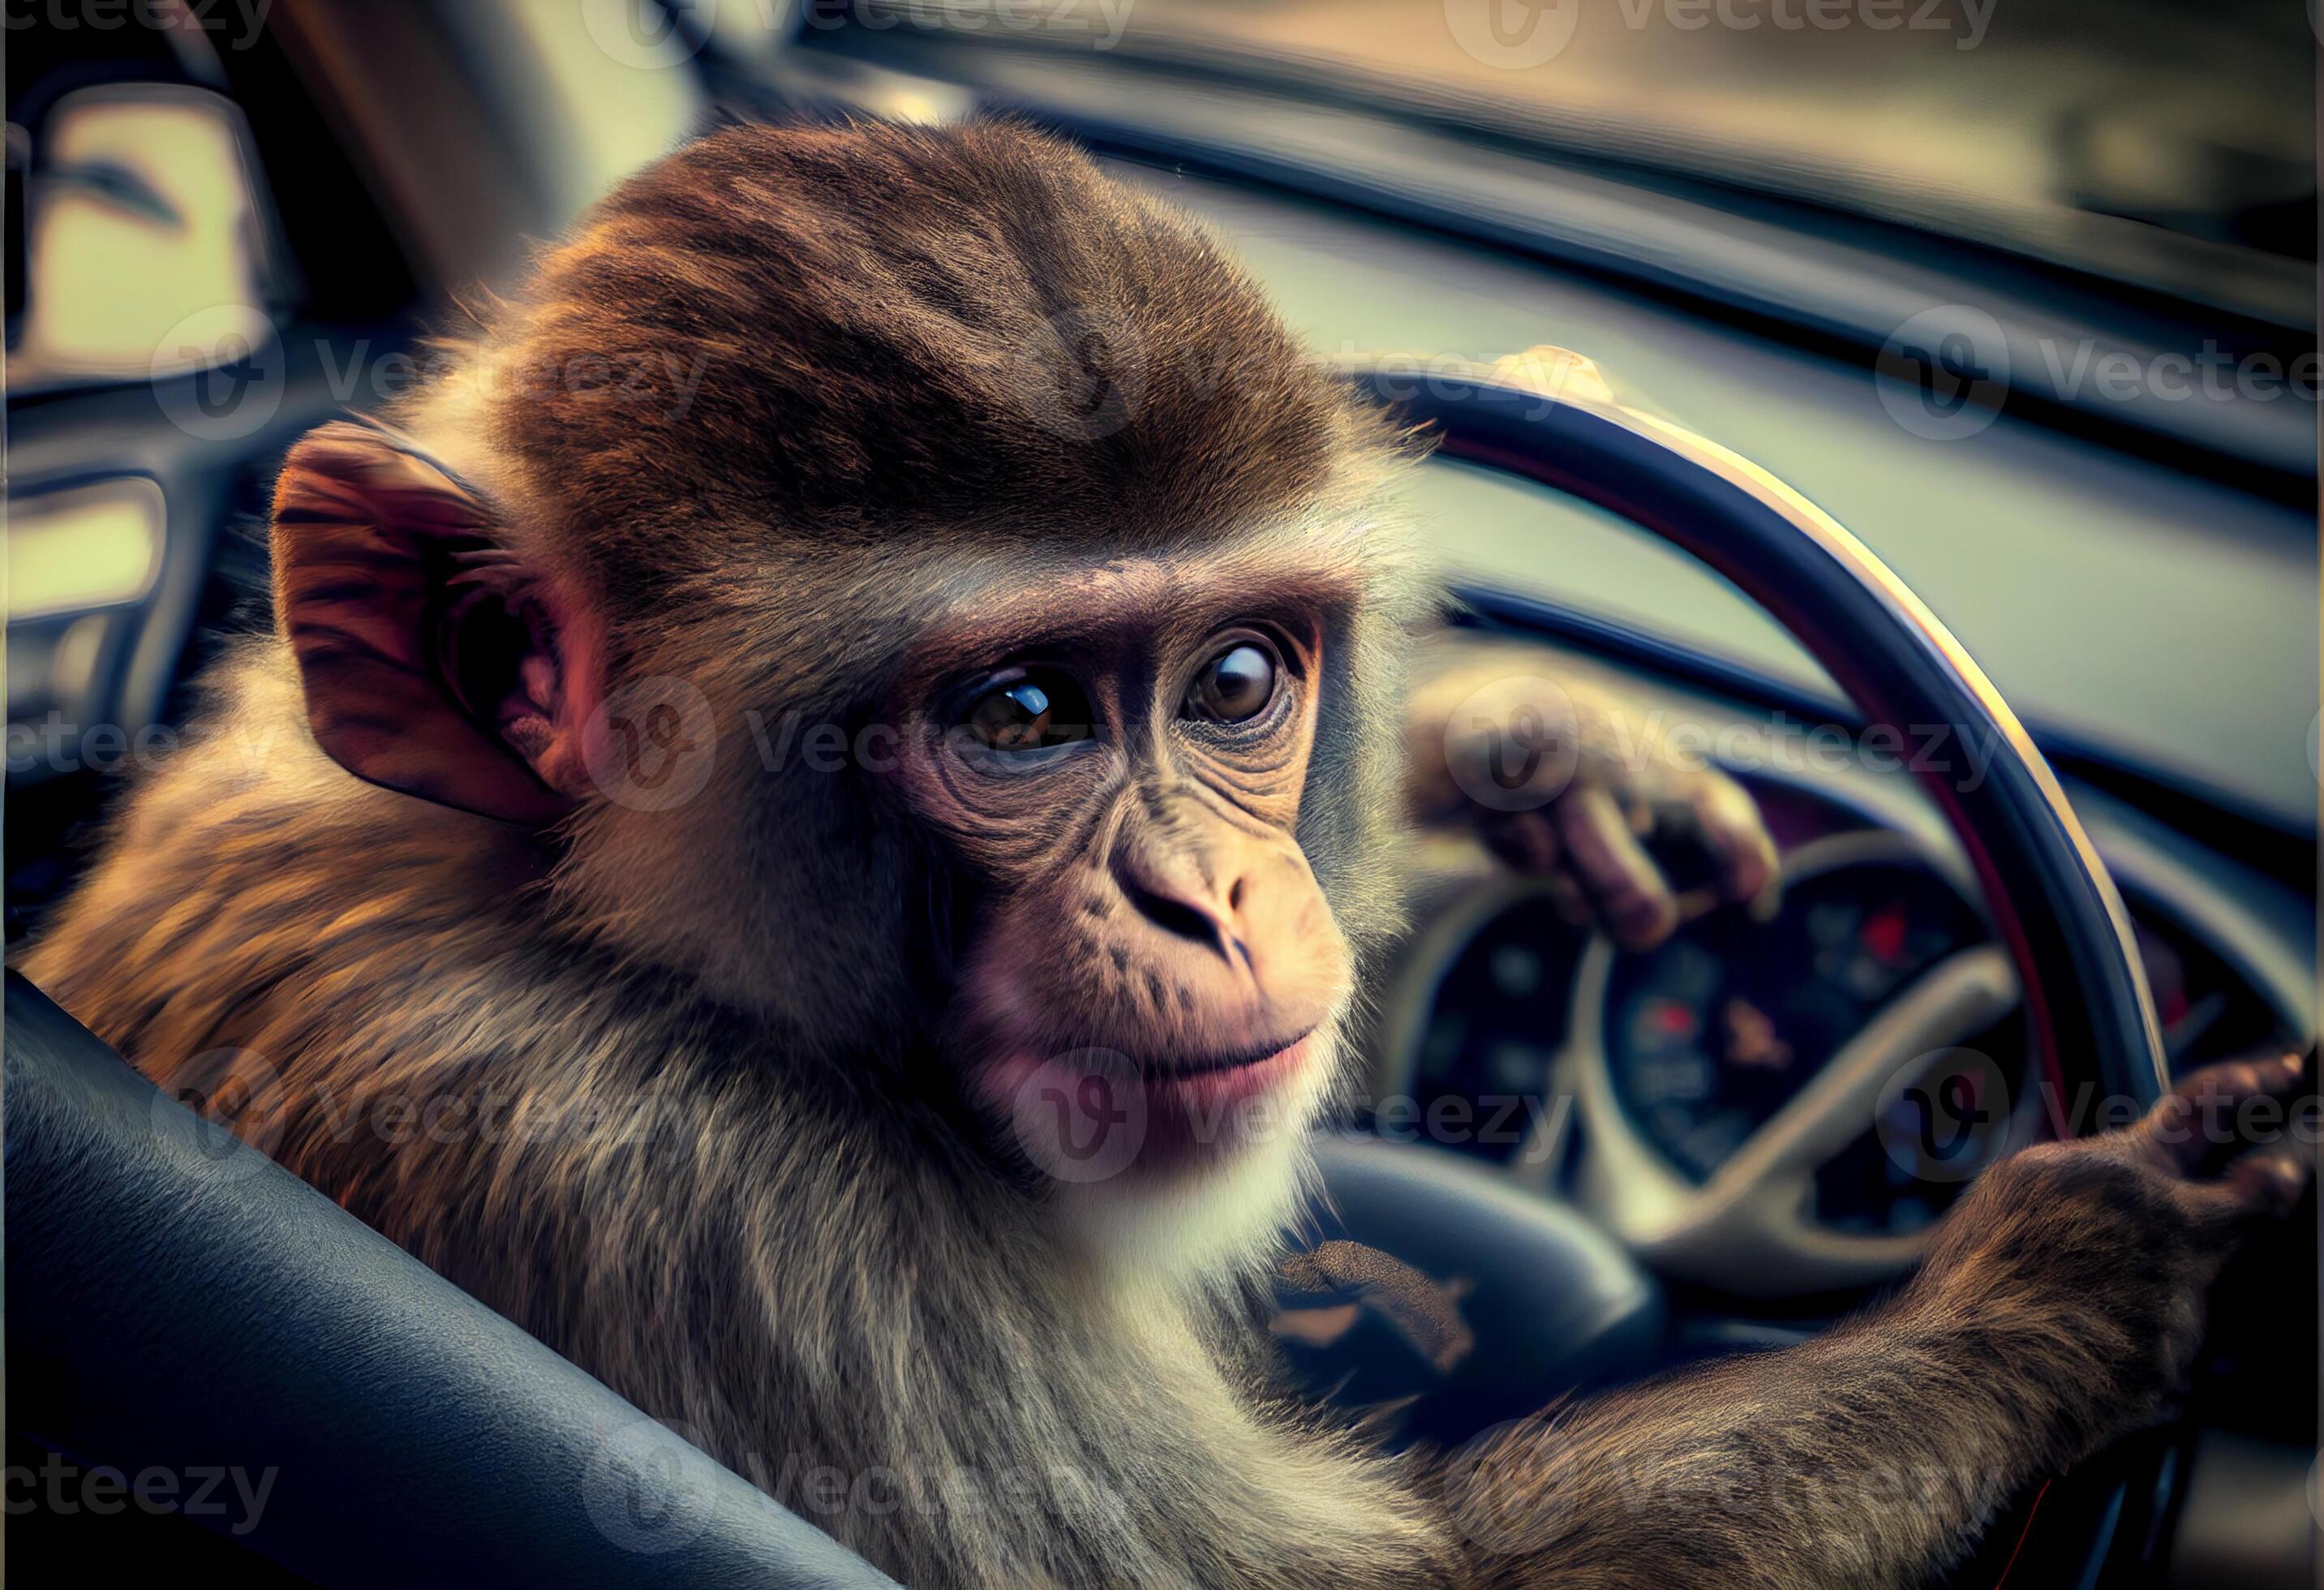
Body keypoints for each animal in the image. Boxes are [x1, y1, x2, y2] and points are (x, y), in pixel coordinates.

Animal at [23, 120, 2308, 1588]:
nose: (1208, 892)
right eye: (1022, 717)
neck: (567, 920)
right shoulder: (730, 1216)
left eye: (1229, 682)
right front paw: (2067, 1279)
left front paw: (1524, 750)